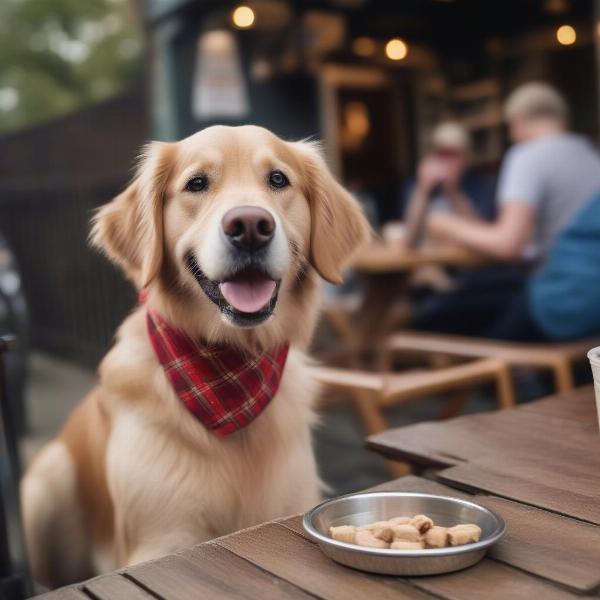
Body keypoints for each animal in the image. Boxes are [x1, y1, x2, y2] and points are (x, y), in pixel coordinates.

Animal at [19, 123, 370, 584]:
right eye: (197, 183)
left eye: (278, 179)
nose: (250, 225)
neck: (229, 374)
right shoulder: (161, 539)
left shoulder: (290, 502)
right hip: (48, 479)